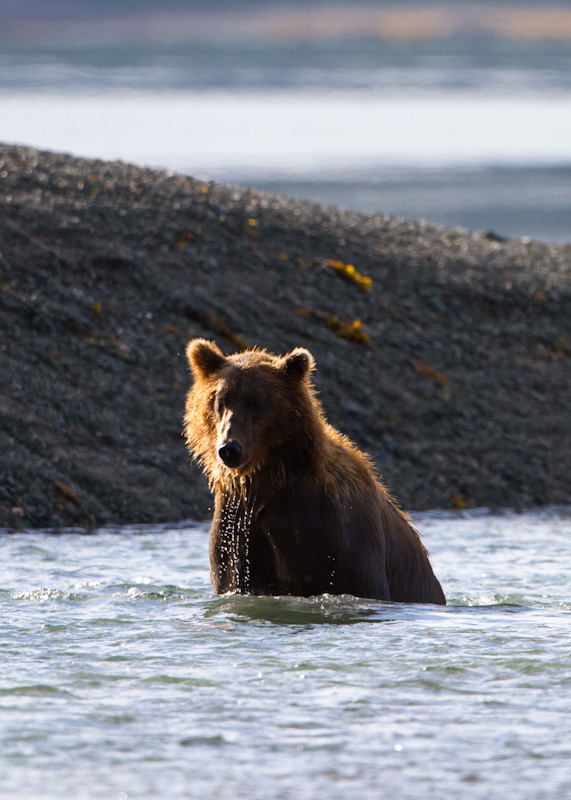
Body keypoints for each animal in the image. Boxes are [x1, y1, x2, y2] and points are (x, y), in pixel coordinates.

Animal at [183, 338, 446, 608]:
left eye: (256, 401)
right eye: (219, 399)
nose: (230, 449)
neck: (270, 484)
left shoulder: (340, 536)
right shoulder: (237, 533)